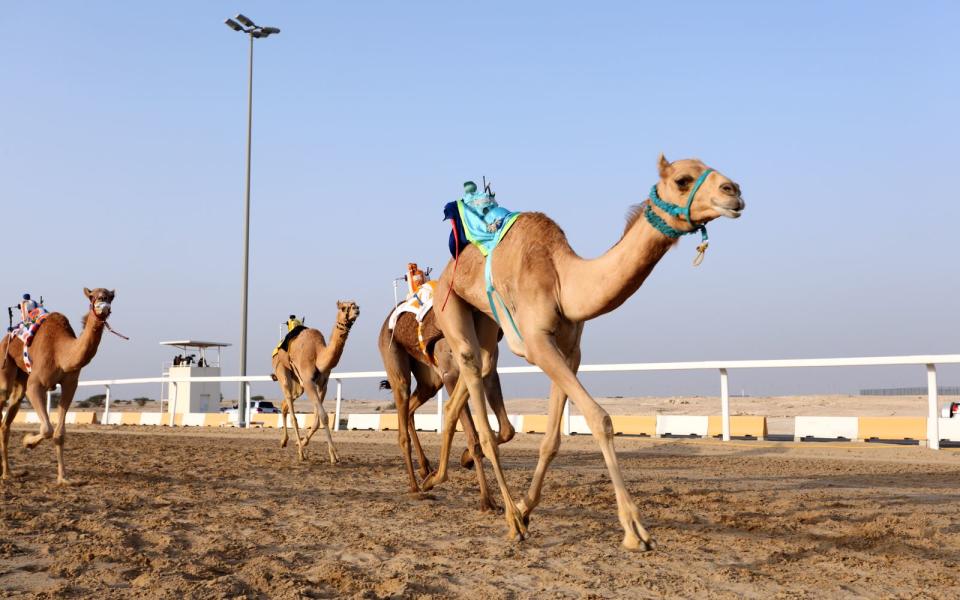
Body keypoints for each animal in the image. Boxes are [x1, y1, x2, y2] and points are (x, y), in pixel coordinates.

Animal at [0, 288, 118, 486]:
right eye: (92, 296)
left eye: (111, 297)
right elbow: (46, 429)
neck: (61, 353)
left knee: (5, 423)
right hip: (5, 365)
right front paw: (27, 442)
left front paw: (64, 478)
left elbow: (59, 433)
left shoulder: (70, 384)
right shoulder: (35, 384)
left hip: (21, 380)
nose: (103, 304)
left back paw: (9, 473)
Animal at [270, 300, 360, 464]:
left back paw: (284, 441)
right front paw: (334, 455)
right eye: (343, 307)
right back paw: (301, 453)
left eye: (356, 304)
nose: (357, 310)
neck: (319, 354)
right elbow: (323, 417)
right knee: (292, 412)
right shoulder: (308, 382)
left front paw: (304, 442)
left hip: (298, 385)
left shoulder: (322, 384)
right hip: (281, 370)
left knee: (285, 405)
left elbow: (318, 419)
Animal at [376, 310, 512, 510]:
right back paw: (416, 487)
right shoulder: (451, 375)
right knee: (403, 424)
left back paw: (425, 469)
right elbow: (473, 437)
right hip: (395, 361)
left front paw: (465, 458)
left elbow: (507, 430)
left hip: (430, 381)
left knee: (410, 410)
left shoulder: (488, 369)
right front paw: (487, 501)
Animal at [424, 157, 748, 552]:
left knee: (476, 375)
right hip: (450, 304)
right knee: (474, 380)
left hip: (485, 319)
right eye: (683, 180)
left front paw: (527, 507)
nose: (733, 191)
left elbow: (551, 440)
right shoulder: (538, 344)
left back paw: (436, 478)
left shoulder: (569, 351)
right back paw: (508, 518)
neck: (563, 281)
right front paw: (634, 530)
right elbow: (600, 419)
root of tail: (445, 270)